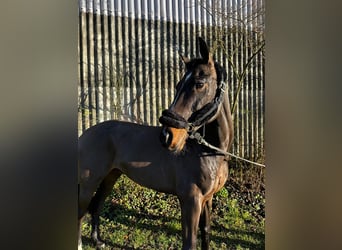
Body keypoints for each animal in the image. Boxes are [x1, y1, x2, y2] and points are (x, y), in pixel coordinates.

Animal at [78, 37, 234, 250]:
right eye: (177, 85)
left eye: (199, 83)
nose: (167, 136)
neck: (208, 153)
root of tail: (85, 134)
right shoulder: (190, 201)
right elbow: (190, 242)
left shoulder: (207, 200)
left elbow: (206, 233)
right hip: (88, 182)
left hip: (110, 177)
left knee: (97, 205)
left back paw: (98, 241)